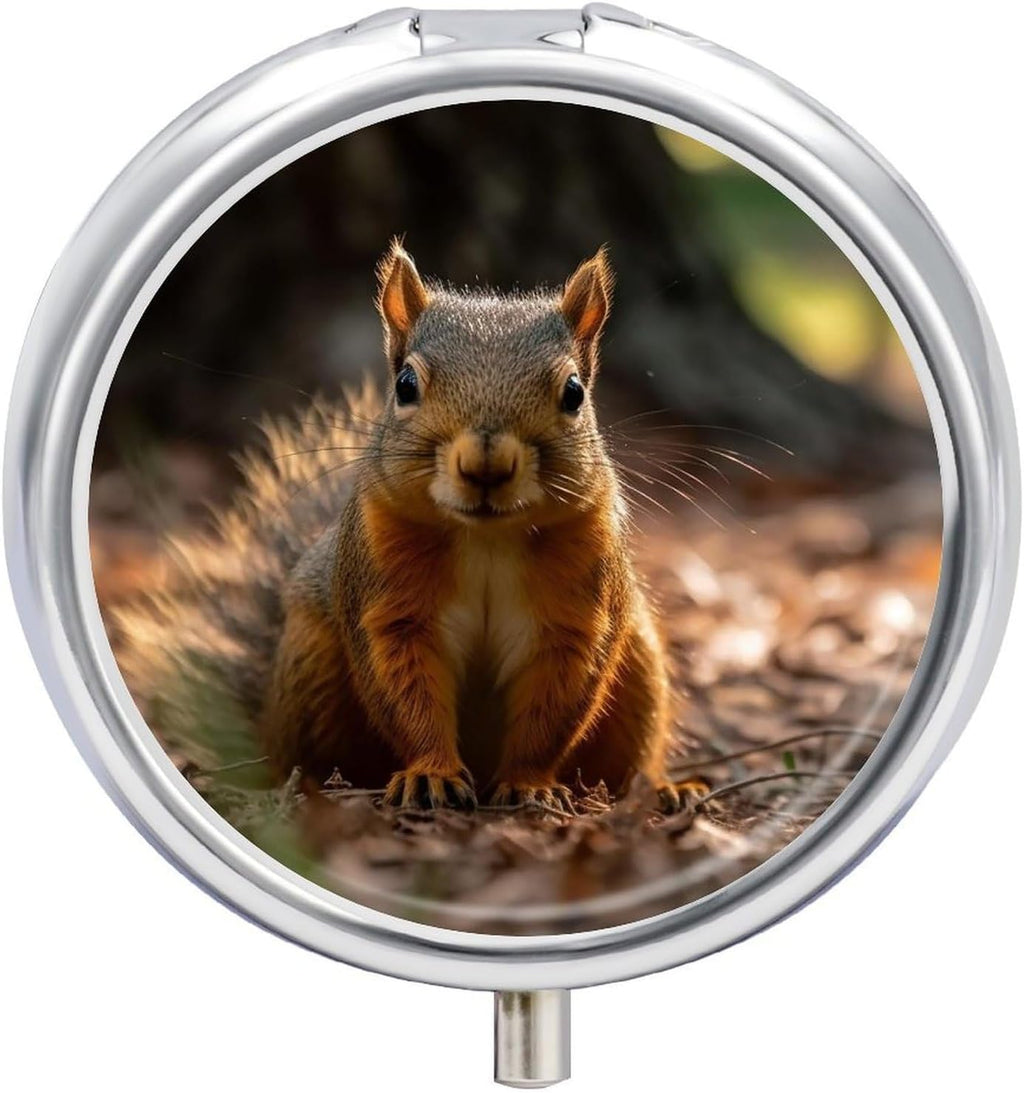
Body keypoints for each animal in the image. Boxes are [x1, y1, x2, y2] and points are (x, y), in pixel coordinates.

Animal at [112, 240, 683, 814]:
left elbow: (554, 707)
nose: (487, 466)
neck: (487, 538)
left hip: (640, 669)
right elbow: (405, 689)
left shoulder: (576, 612)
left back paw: (667, 790)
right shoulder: (387, 597)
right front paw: (431, 774)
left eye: (574, 392)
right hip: (312, 662)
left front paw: (529, 784)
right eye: (405, 385)